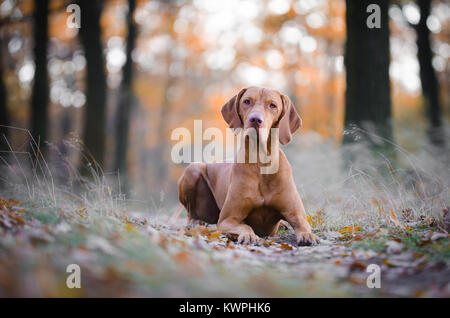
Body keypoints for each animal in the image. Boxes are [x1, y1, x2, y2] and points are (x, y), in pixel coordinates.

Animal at [174, 86, 318, 246]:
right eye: (247, 101)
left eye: (272, 105)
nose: (255, 119)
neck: (261, 162)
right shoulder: (227, 219)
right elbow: (245, 226)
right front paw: (248, 236)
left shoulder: (296, 213)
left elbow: (303, 224)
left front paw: (308, 235)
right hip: (193, 169)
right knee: (190, 213)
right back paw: (196, 222)